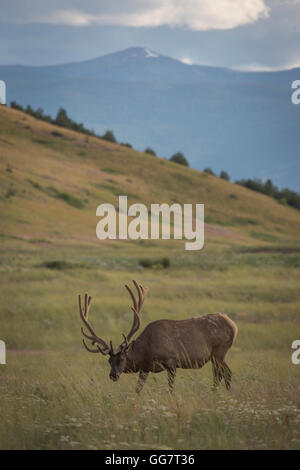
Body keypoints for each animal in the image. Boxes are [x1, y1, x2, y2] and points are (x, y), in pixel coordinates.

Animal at [78, 280, 238, 392]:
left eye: (122, 359)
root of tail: (234, 326)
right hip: (217, 355)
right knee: (228, 373)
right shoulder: (145, 368)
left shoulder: (172, 361)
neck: (146, 351)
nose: (113, 375)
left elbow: (170, 389)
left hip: (218, 352)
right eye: (109, 361)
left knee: (218, 375)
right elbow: (138, 389)